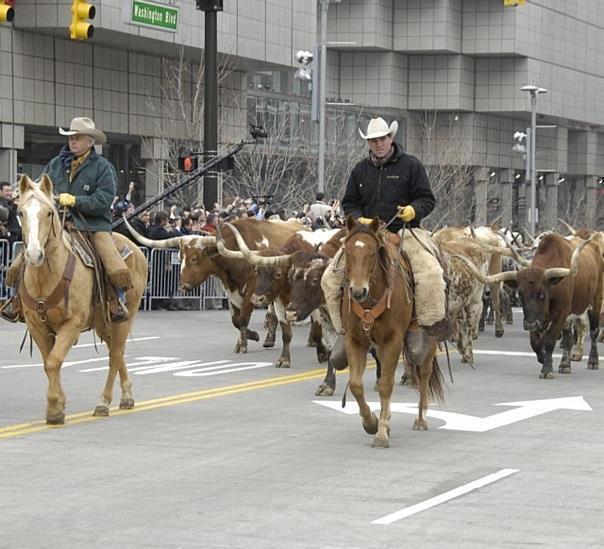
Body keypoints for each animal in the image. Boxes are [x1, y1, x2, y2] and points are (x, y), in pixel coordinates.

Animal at [15, 176, 147, 424]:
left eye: (49, 212)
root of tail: (136, 249)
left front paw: (55, 410)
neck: (46, 275)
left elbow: (54, 360)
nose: (34, 255)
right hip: (103, 322)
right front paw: (58, 404)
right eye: (20, 212)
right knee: (117, 352)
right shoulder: (37, 325)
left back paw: (104, 402)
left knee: (115, 355)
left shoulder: (72, 323)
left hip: (124, 317)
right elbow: (49, 362)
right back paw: (126, 396)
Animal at [342, 214, 446, 446]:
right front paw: (371, 423)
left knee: (424, 373)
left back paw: (421, 418)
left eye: (372, 253)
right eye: (347, 252)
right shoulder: (355, 340)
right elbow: (356, 385)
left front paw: (381, 434)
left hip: (428, 338)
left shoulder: (393, 340)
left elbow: (386, 385)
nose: (358, 291)